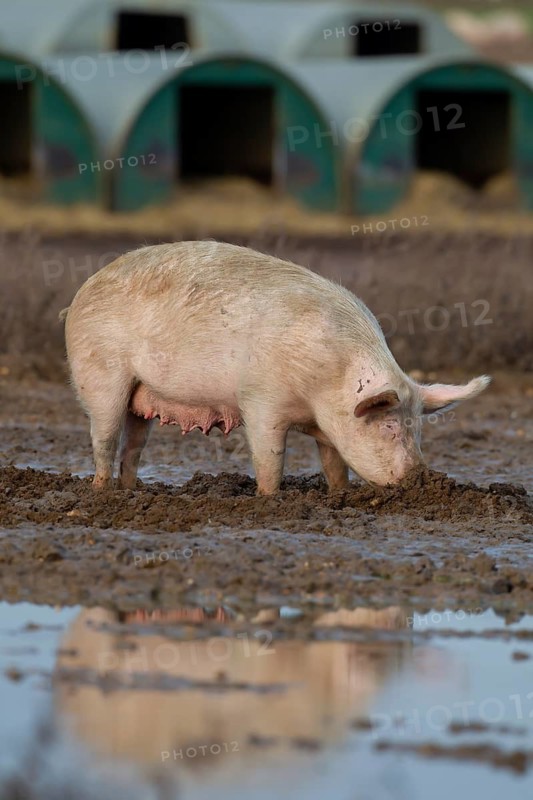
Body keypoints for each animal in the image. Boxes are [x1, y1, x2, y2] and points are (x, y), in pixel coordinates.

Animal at [61, 241, 490, 495]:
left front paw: (339, 496)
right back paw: (102, 493)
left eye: (418, 430)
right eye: (388, 427)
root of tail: (81, 292)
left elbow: (333, 462)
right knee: (104, 438)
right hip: (100, 376)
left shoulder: (327, 427)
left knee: (133, 446)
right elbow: (270, 456)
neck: (324, 385)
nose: (422, 477)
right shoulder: (261, 401)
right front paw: (269, 499)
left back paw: (131, 492)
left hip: (140, 397)